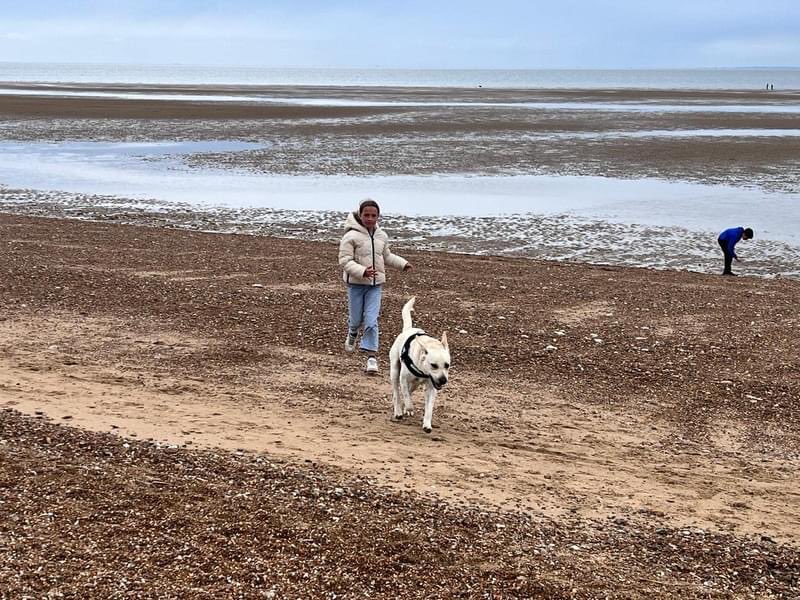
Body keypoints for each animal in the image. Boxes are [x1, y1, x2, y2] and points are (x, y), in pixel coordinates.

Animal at [388, 296, 450, 432]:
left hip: (416, 383)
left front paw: (427, 424)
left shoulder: (432, 387)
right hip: (394, 371)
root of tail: (408, 329)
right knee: (397, 393)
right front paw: (409, 407)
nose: (443, 380)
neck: (423, 371)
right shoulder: (403, 379)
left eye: (447, 365)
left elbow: (429, 407)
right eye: (433, 365)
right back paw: (398, 411)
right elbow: (406, 396)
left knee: (410, 390)